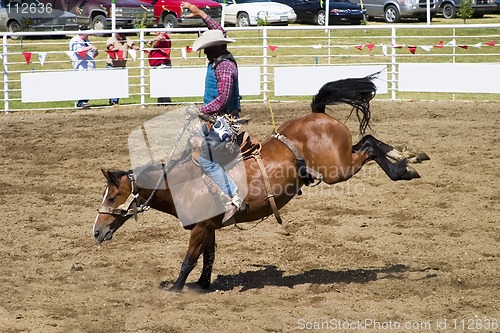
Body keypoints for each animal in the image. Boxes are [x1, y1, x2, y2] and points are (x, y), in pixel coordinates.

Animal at [93, 74, 426, 290]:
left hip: (338, 169)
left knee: (369, 145)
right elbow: (208, 258)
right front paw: (202, 286)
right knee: (368, 140)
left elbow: (189, 260)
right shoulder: (209, 227)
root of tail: (317, 116)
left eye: (112, 197)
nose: (96, 231)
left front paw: (175, 290)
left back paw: (406, 165)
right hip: (341, 158)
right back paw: (410, 159)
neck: (184, 183)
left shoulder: (200, 228)